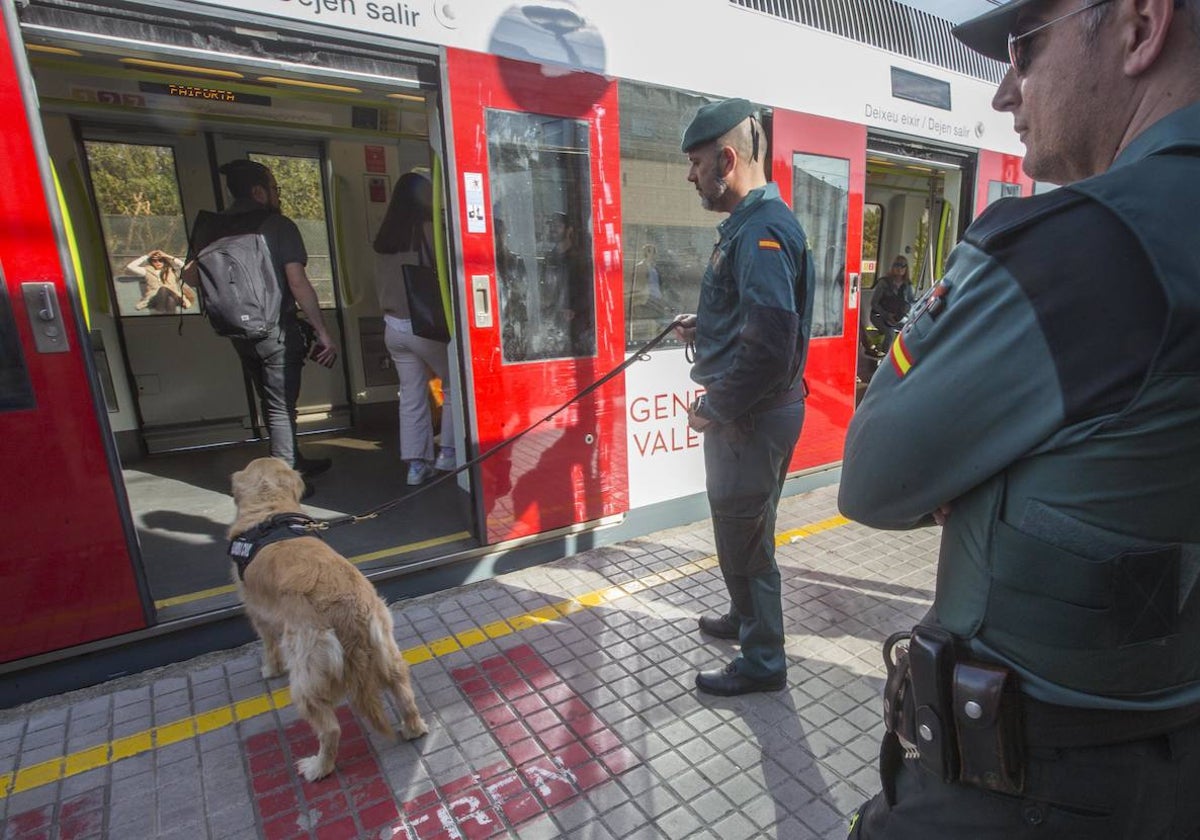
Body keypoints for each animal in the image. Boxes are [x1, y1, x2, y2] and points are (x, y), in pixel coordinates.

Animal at [226, 458, 429, 782]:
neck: (268, 508)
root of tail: (348, 609)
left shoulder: (256, 611)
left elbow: (268, 643)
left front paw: (270, 668)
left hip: (306, 672)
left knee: (330, 729)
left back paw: (318, 767)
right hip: (386, 647)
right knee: (403, 692)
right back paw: (413, 727)